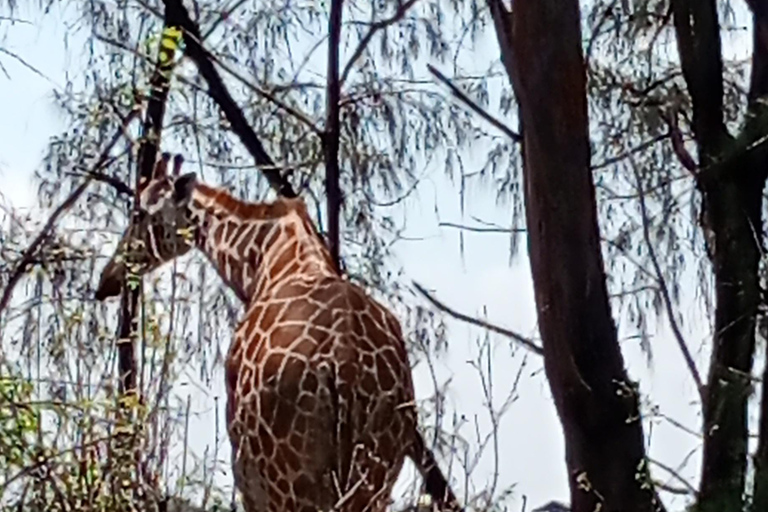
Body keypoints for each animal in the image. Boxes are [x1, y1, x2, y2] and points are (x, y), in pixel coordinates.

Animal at [93, 154, 460, 512]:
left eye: (138, 213)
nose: (106, 280)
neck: (264, 260)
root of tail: (343, 368)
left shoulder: (245, 467)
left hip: (290, 479)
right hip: (373, 474)